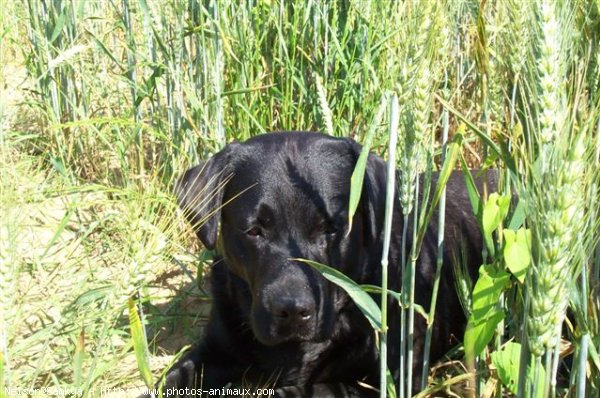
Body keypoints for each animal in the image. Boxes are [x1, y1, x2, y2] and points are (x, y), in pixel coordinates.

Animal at [166, 132, 490, 396]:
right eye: (255, 231)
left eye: (331, 228)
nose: (292, 310)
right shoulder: (214, 348)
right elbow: (172, 378)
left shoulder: (397, 376)